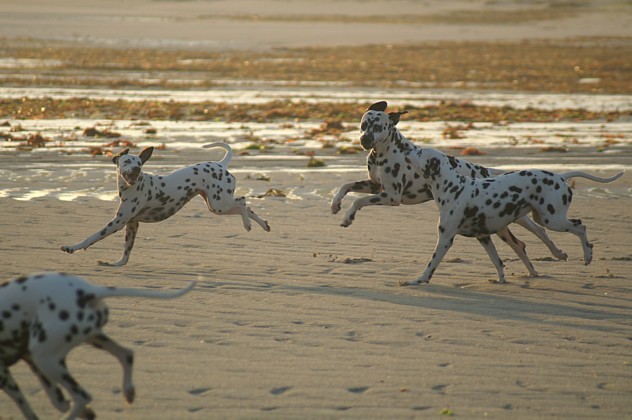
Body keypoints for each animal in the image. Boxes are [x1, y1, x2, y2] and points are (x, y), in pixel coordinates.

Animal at [0, 272, 194, 420]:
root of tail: (88, 291)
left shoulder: (7, 374)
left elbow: (28, 408)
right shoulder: (29, 361)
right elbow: (57, 400)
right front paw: (85, 412)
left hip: (46, 358)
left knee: (83, 397)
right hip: (87, 340)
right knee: (126, 354)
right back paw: (128, 391)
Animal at [58, 141, 266, 266]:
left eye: (139, 163)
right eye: (127, 161)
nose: (135, 169)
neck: (133, 186)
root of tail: (221, 164)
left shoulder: (118, 222)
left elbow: (92, 237)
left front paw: (72, 248)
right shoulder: (132, 224)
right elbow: (126, 254)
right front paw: (115, 263)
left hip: (219, 203)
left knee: (242, 201)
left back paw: (248, 224)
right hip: (217, 204)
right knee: (248, 207)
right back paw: (263, 224)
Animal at [330, 101, 568, 278]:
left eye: (378, 127)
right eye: (364, 124)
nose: (365, 139)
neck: (384, 153)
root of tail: (485, 171)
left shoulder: (390, 196)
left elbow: (358, 201)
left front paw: (348, 217)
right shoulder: (375, 186)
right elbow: (345, 186)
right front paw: (335, 205)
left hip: (517, 219)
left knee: (539, 231)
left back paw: (556, 253)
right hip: (503, 224)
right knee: (520, 244)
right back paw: (533, 271)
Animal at [400, 147, 624, 286]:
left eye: (420, 151)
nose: (407, 149)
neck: (453, 187)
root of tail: (561, 176)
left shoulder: (445, 239)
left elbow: (431, 265)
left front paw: (418, 280)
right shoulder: (484, 237)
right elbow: (498, 262)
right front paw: (501, 280)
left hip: (553, 220)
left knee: (580, 227)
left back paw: (587, 255)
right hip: (541, 218)